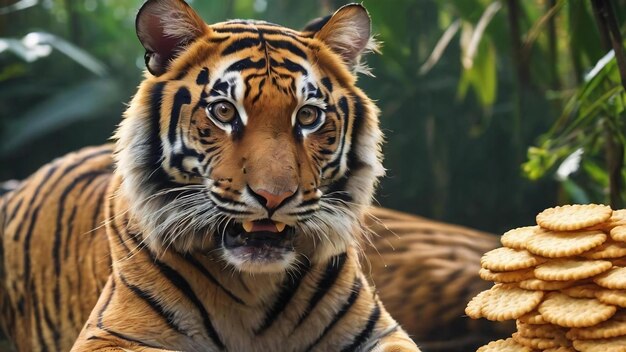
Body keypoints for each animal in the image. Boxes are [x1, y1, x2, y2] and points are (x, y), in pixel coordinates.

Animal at [0, 0, 510, 350]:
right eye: (225, 111)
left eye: (308, 116)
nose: (274, 196)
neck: (253, 291)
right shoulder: (114, 333)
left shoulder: (380, 332)